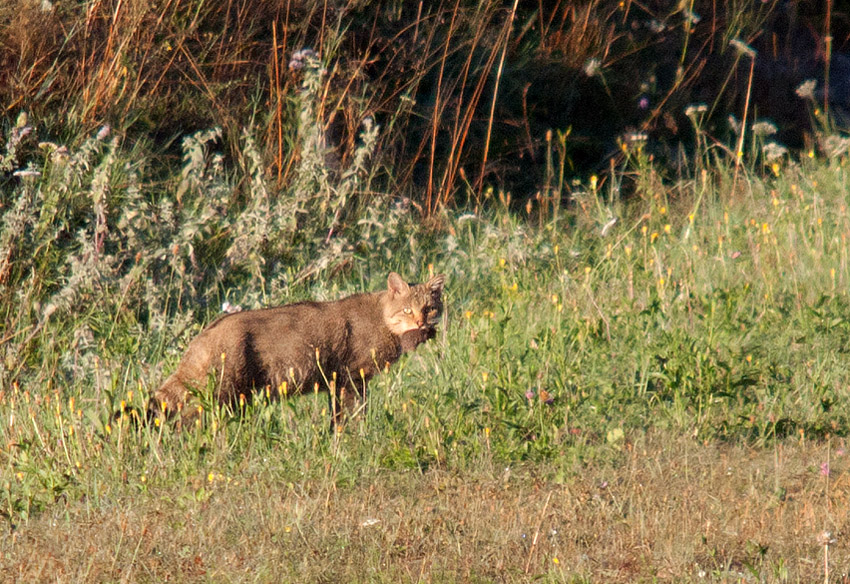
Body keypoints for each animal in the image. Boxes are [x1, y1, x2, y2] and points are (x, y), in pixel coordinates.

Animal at [151, 272, 444, 426]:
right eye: (407, 310)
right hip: (223, 394)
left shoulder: (343, 381)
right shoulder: (351, 378)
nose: (421, 322)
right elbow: (352, 413)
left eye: (430, 308)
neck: (382, 318)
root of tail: (204, 333)